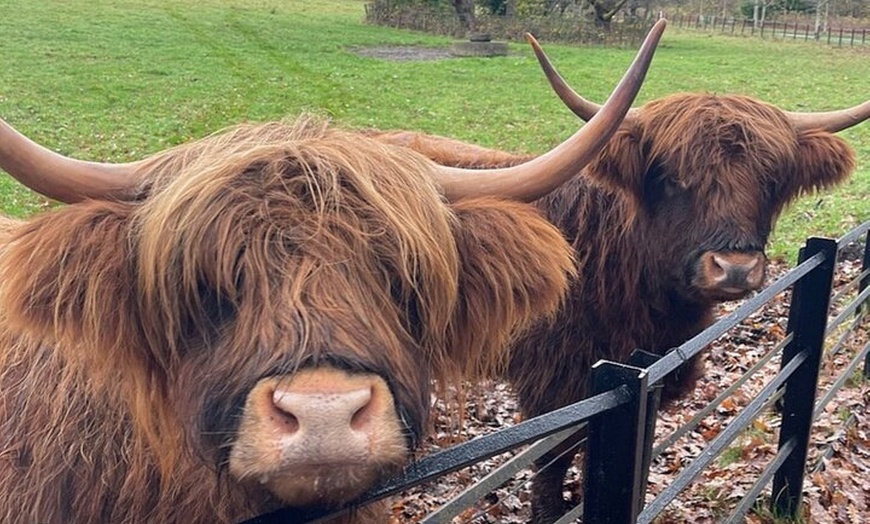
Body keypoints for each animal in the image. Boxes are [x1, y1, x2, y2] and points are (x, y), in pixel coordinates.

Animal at [371, 34, 870, 523]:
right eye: (671, 178)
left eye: (771, 181)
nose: (734, 266)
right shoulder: (553, 381)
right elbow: (554, 457)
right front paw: (550, 512)